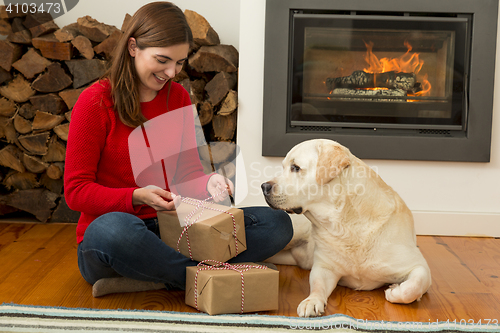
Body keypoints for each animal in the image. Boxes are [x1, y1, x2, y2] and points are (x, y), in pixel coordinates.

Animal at [262, 138, 430, 316]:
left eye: (295, 167)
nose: (264, 187)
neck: (345, 224)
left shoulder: (419, 266)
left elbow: (411, 288)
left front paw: (394, 290)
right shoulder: (324, 268)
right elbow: (317, 286)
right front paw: (312, 301)